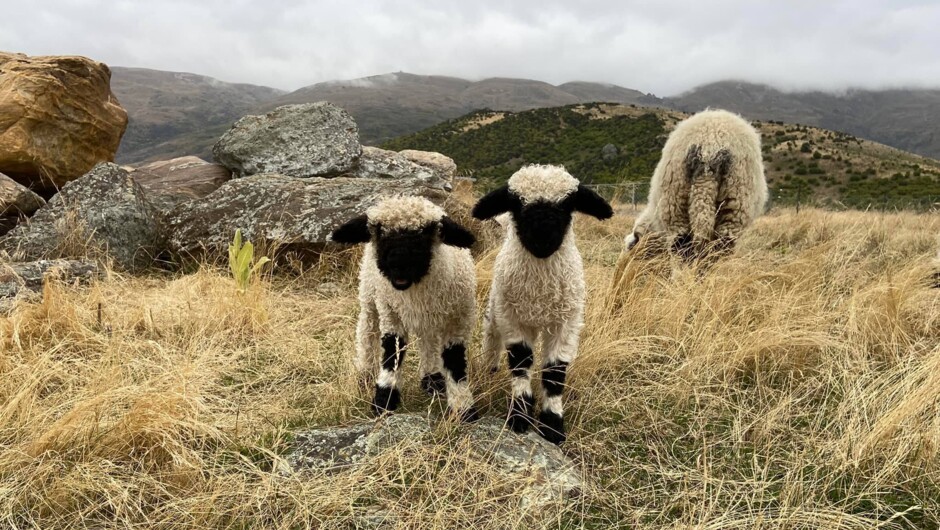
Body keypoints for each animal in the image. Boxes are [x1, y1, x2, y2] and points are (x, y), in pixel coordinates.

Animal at [331, 196, 479, 421]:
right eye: (379, 230)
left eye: (425, 232)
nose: (398, 262)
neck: (414, 293)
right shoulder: (391, 314)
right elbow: (393, 353)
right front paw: (384, 399)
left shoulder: (458, 320)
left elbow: (454, 362)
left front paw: (463, 408)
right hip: (370, 296)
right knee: (367, 332)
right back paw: (364, 373)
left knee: (429, 341)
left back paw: (432, 378)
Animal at [472, 165, 613, 444]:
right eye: (516, 204)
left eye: (568, 204)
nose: (542, 239)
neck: (539, 290)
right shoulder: (512, 319)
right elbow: (521, 362)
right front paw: (520, 416)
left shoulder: (566, 323)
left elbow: (554, 373)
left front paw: (552, 425)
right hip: (496, 308)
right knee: (491, 340)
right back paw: (488, 370)